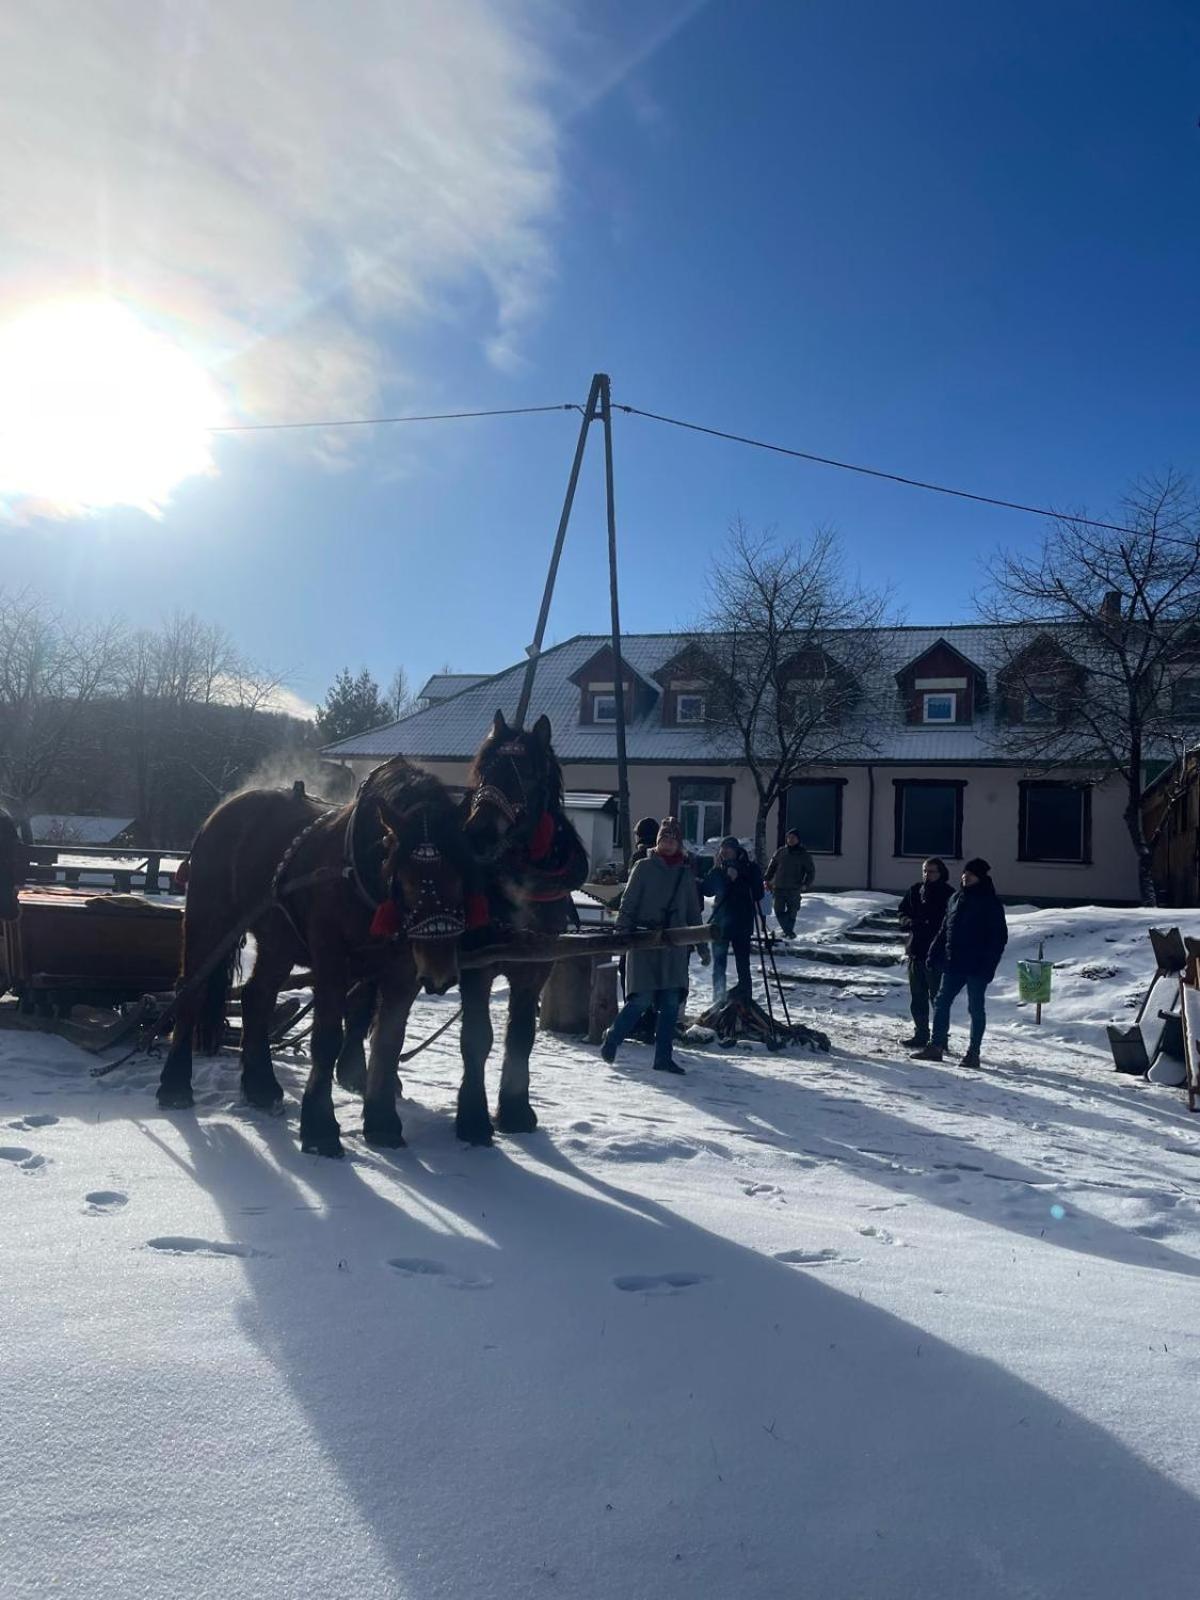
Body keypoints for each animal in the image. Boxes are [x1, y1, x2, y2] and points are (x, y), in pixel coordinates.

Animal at [158, 755, 473, 1158]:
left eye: (463, 875)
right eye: (405, 877)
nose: (440, 972)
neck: (359, 875)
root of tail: (222, 812)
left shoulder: (402, 974)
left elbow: (388, 1044)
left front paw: (382, 1122)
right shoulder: (331, 961)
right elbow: (326, 1039)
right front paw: (320, 1128)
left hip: (278, 942)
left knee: (257, 996)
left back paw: (261, 1086)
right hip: (208, 922)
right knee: (190, 991)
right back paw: (175, 1086)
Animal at [454, 707, 592, 1145]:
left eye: (528, 775)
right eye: (484, 770)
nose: (479, 833)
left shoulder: (534, 970)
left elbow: (521, 1037)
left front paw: (515, 1111)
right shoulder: (476, 967)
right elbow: (477, 1038)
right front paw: (473, 1118)